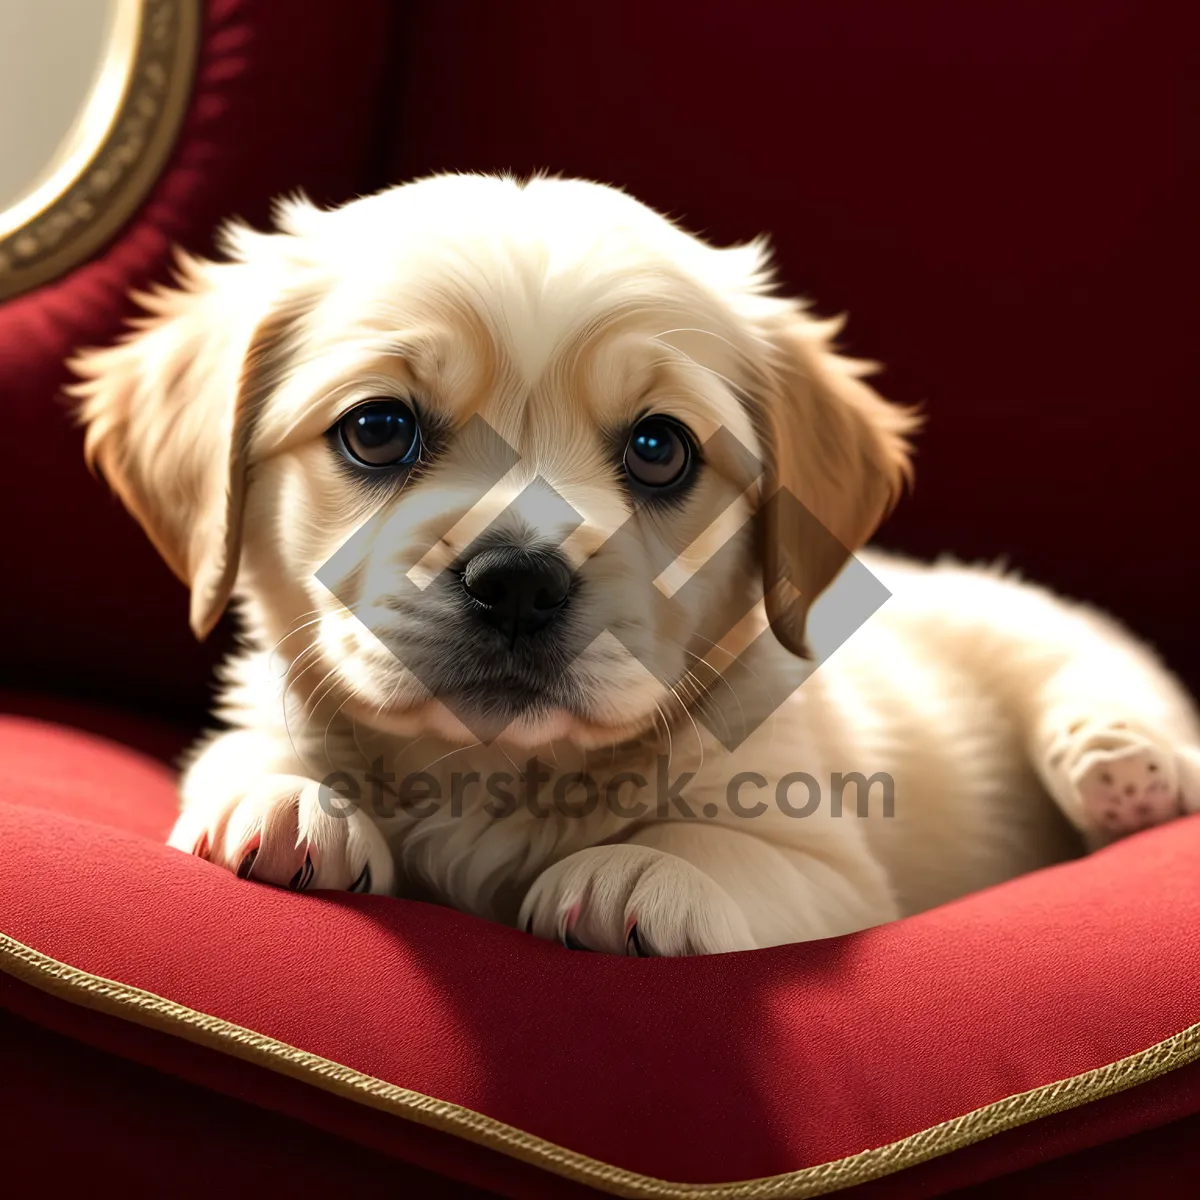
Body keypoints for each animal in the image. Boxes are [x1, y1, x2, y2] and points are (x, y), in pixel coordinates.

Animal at [70, 174, 1200, 950]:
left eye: (661, 449)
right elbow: (248, 750)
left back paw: (1120, 766)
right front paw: (292, 799)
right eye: (377, 430)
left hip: (1034, 631)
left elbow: (726, 848)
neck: (495, 774)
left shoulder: (830, 868)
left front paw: (638, 870)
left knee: (1114, 685)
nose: (517, 582)